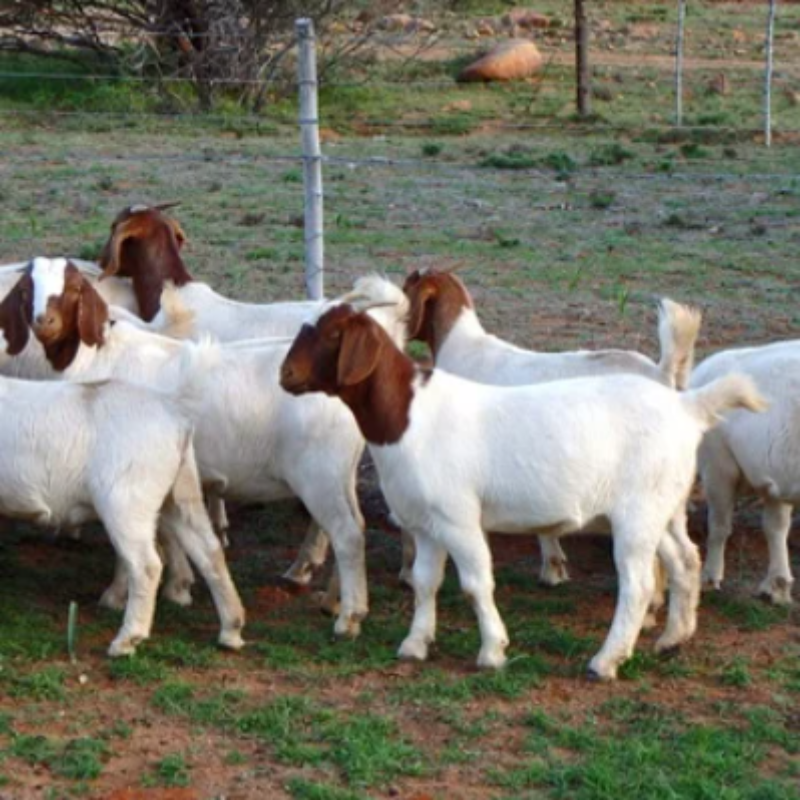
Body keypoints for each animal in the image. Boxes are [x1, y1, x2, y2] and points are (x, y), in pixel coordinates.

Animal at [280, 305, 765, 679]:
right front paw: (416, 643)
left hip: (638, 512)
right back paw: (673, 639)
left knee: (640, 585)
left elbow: (477, 584)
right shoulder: (427, 524)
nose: (286, 374)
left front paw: (493, 651)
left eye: (334, 334)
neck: (407, 417)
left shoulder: (459, 518)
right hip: (663, 505)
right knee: (685, 560)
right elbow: (424, 582)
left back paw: (605, 661)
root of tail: (688, 406)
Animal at [691, 340, 800, 605]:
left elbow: (719, 525)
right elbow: (775, 527)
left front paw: (710, 577)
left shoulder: (717, 463)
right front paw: (777, 586)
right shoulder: (775, 476)